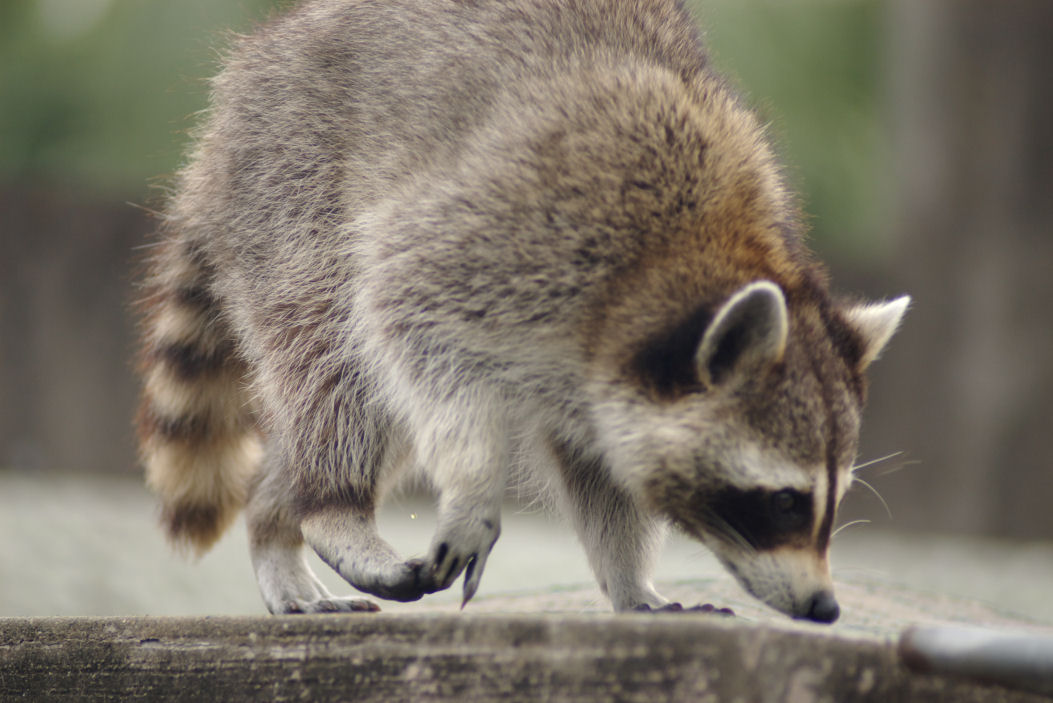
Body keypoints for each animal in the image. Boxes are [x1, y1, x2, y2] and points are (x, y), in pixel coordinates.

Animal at [133, 0, 905, 627]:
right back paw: (331, 503)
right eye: (784, 501)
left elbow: (602, 478)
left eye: (832, 500)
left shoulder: (595, 375)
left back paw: (276, 514)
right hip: (291, 185)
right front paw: (474, 490)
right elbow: (403, 308)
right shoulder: (508, 234)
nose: (824, 606)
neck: (688, 256)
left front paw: (631, 581)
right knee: (339, 359)